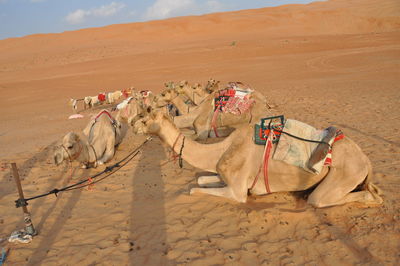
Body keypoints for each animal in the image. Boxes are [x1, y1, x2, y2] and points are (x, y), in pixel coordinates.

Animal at [133, 108, 382, 208]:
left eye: (144, 118)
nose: (133, 126)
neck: (220, 150)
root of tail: (366, 160)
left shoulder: (237, 191)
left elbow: (194, 189)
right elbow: (200, 179)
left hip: (345, 174)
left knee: (326, 198)